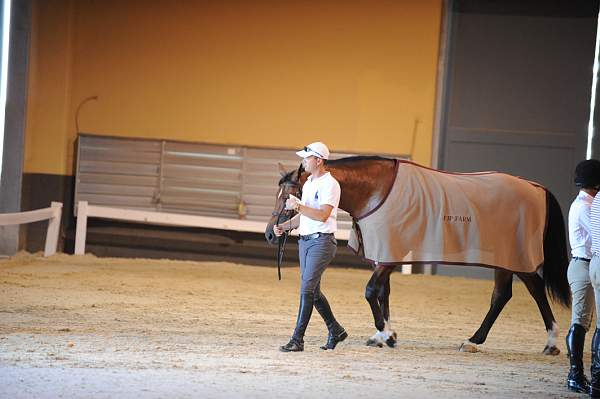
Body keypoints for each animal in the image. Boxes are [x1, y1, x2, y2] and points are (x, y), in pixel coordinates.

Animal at [264, 158, 568, 354]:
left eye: (289, 196)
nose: (270, 233)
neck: (377, 190)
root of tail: (536, 187)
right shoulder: (385, 255)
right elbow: (383, 293)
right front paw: (385, 336)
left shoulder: (389, 257)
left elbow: (370, 291)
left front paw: (384, 333)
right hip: (505, 259)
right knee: (509, 294)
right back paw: (487, 341)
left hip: (516, 256)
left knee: (529, 291)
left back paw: (544, 342)